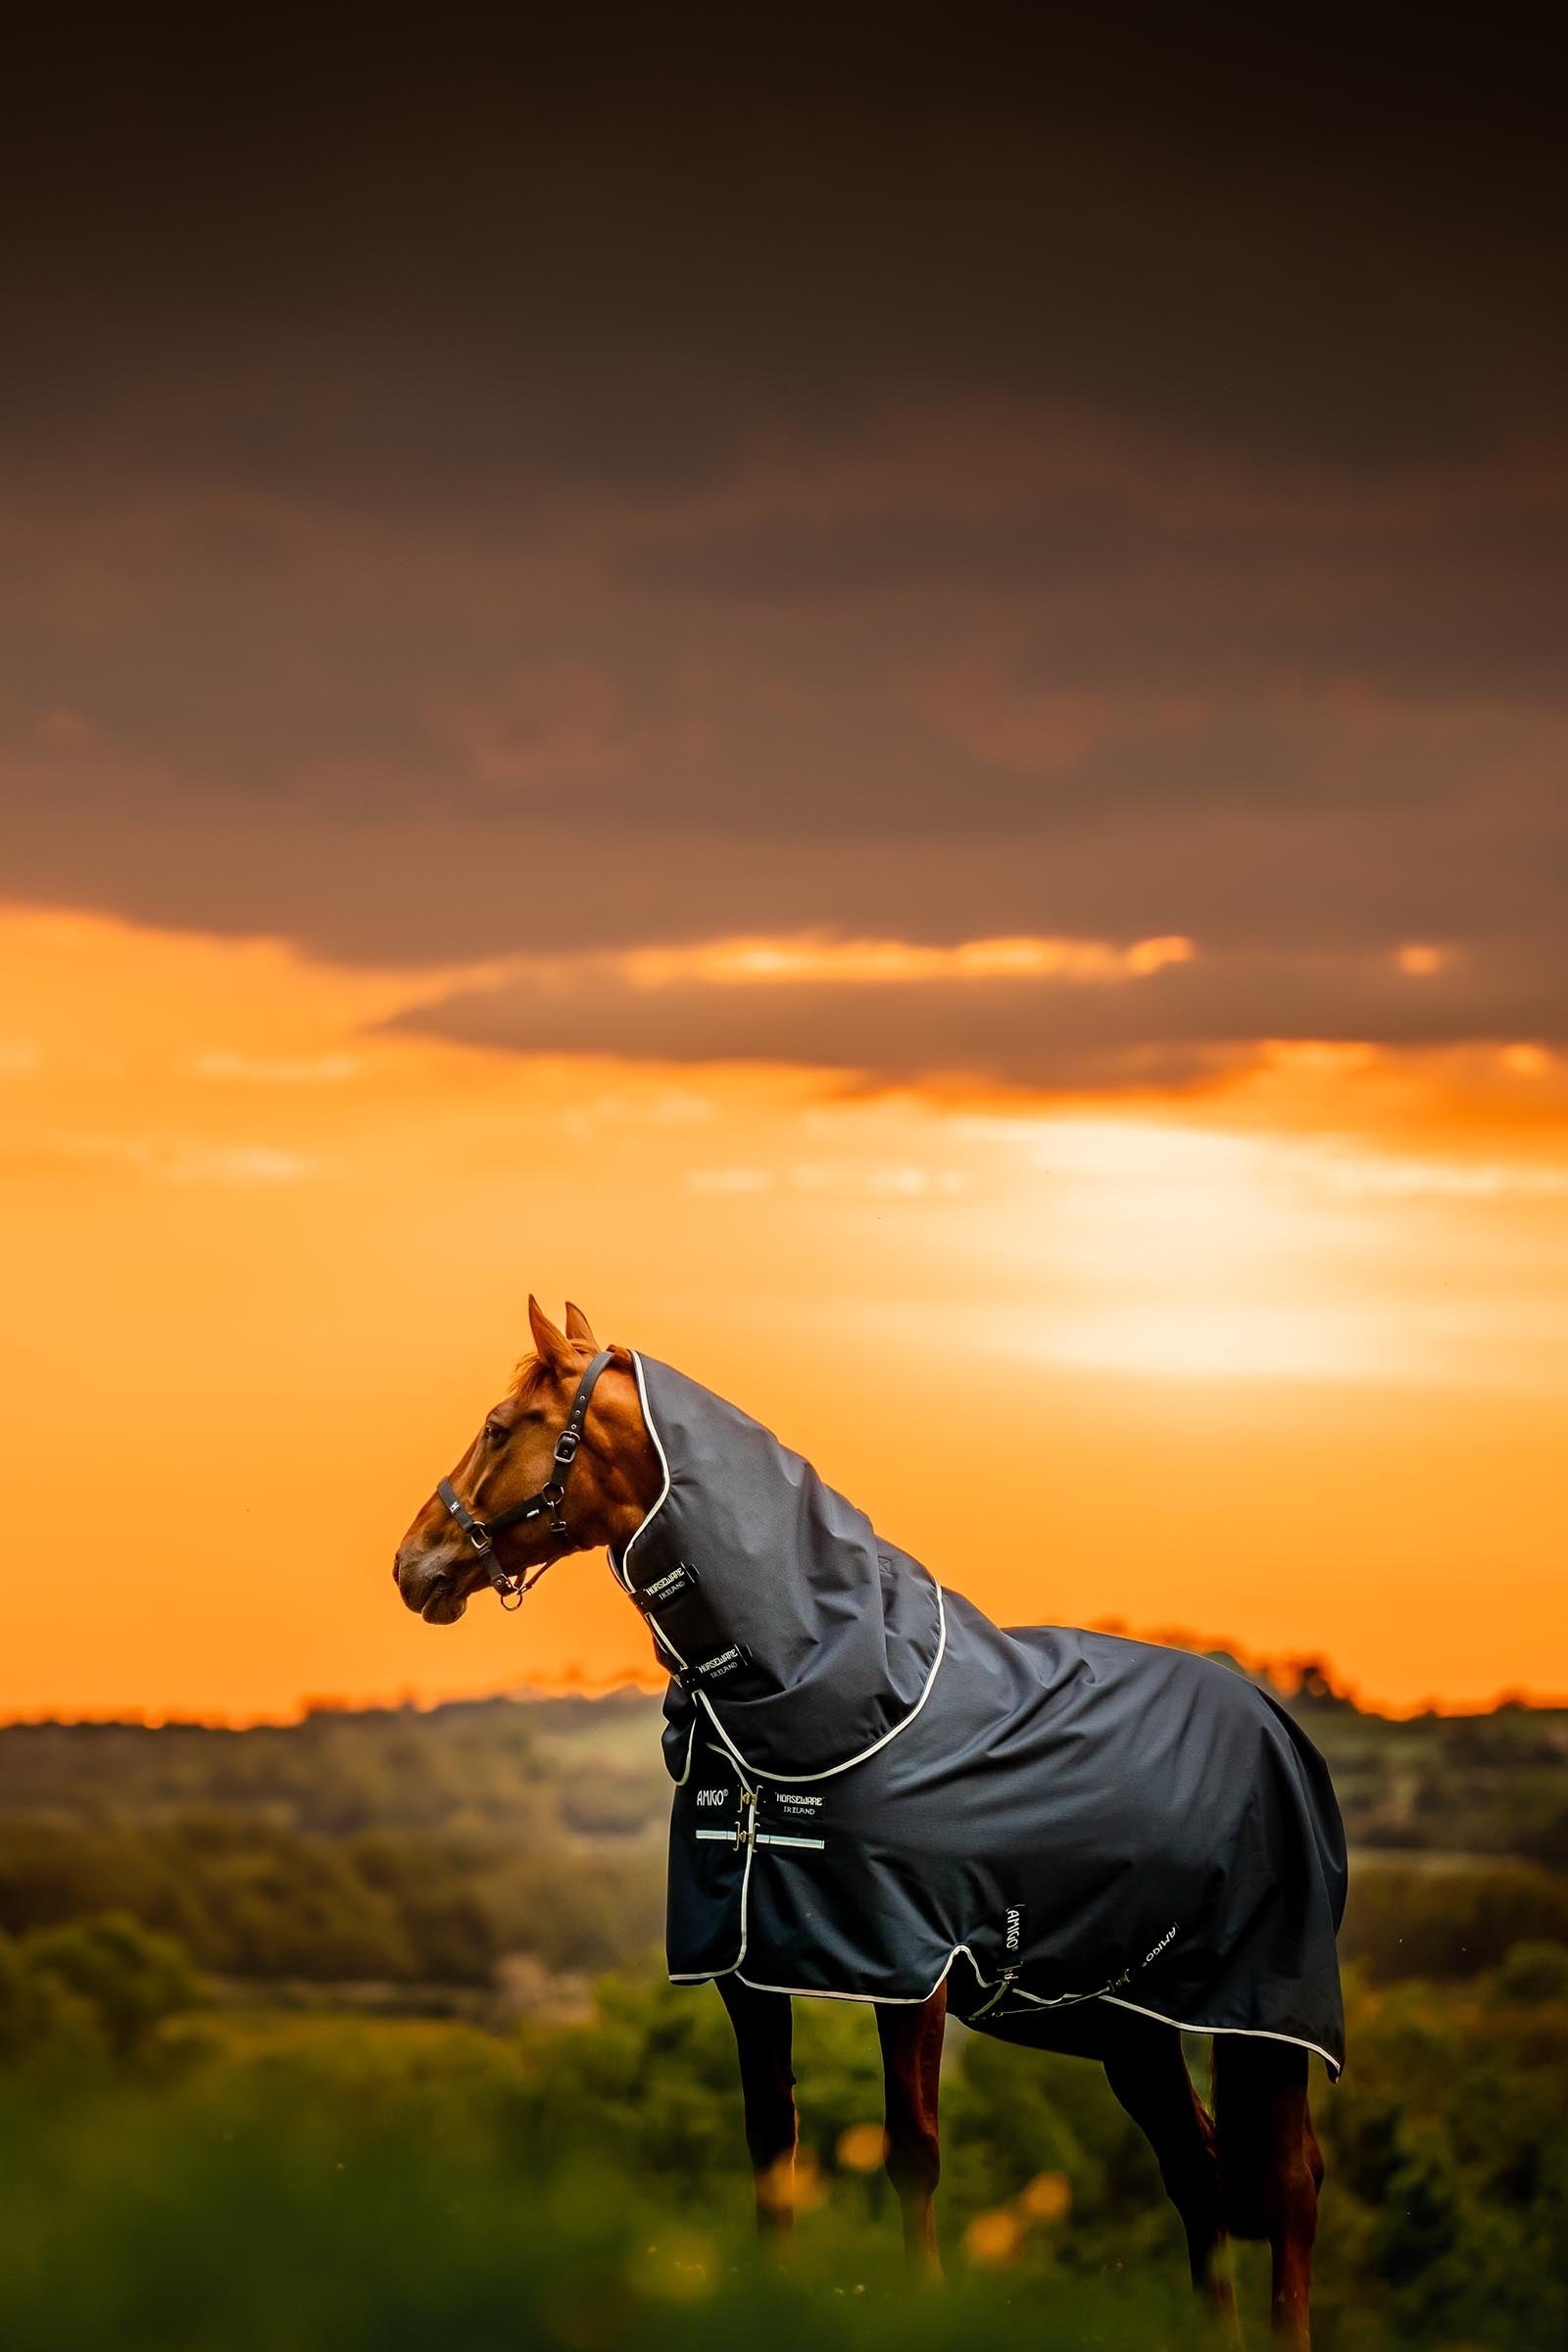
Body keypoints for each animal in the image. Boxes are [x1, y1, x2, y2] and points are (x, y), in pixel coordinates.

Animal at [394, 1300, 1335, 2348]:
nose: (411, 1565)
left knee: (1289, 2189)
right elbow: (772, 2141)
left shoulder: (909, 1971)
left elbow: (911, 2156)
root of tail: (1279, 1726)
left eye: (499, 1426)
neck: (840, 1692)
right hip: (1128, 2023)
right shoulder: (746, 1968)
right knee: (1199, 2174)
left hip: (1264, 2022)